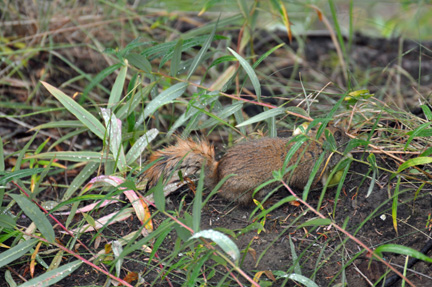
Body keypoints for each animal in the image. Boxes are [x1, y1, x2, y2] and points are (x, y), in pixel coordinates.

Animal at [143, 127, 350, 206]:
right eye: (340, 135)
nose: (351, 139)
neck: (314, 146)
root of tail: (217, 178)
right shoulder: (306, 173)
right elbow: (306, 185)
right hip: (249, 187)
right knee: (248, 202)